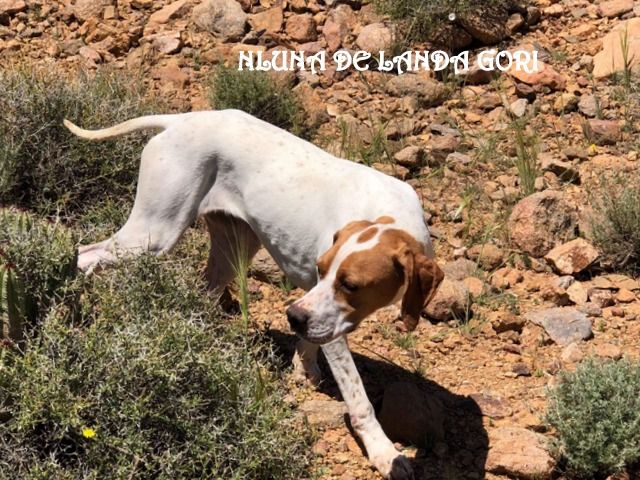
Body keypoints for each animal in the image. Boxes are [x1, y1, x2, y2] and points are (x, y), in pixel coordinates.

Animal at [66, 109, 444, 480]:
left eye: (350, 284)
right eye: (322, 269)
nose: (291, 317)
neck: (390, 214)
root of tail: (181, 119)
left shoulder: (316, 312)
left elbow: (309, 343)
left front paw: (303, 369)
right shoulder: (331, 324)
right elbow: (358, 397)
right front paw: (384, 452)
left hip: (233, 247)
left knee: (201, 296)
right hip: (155, 232)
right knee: (85, 253)